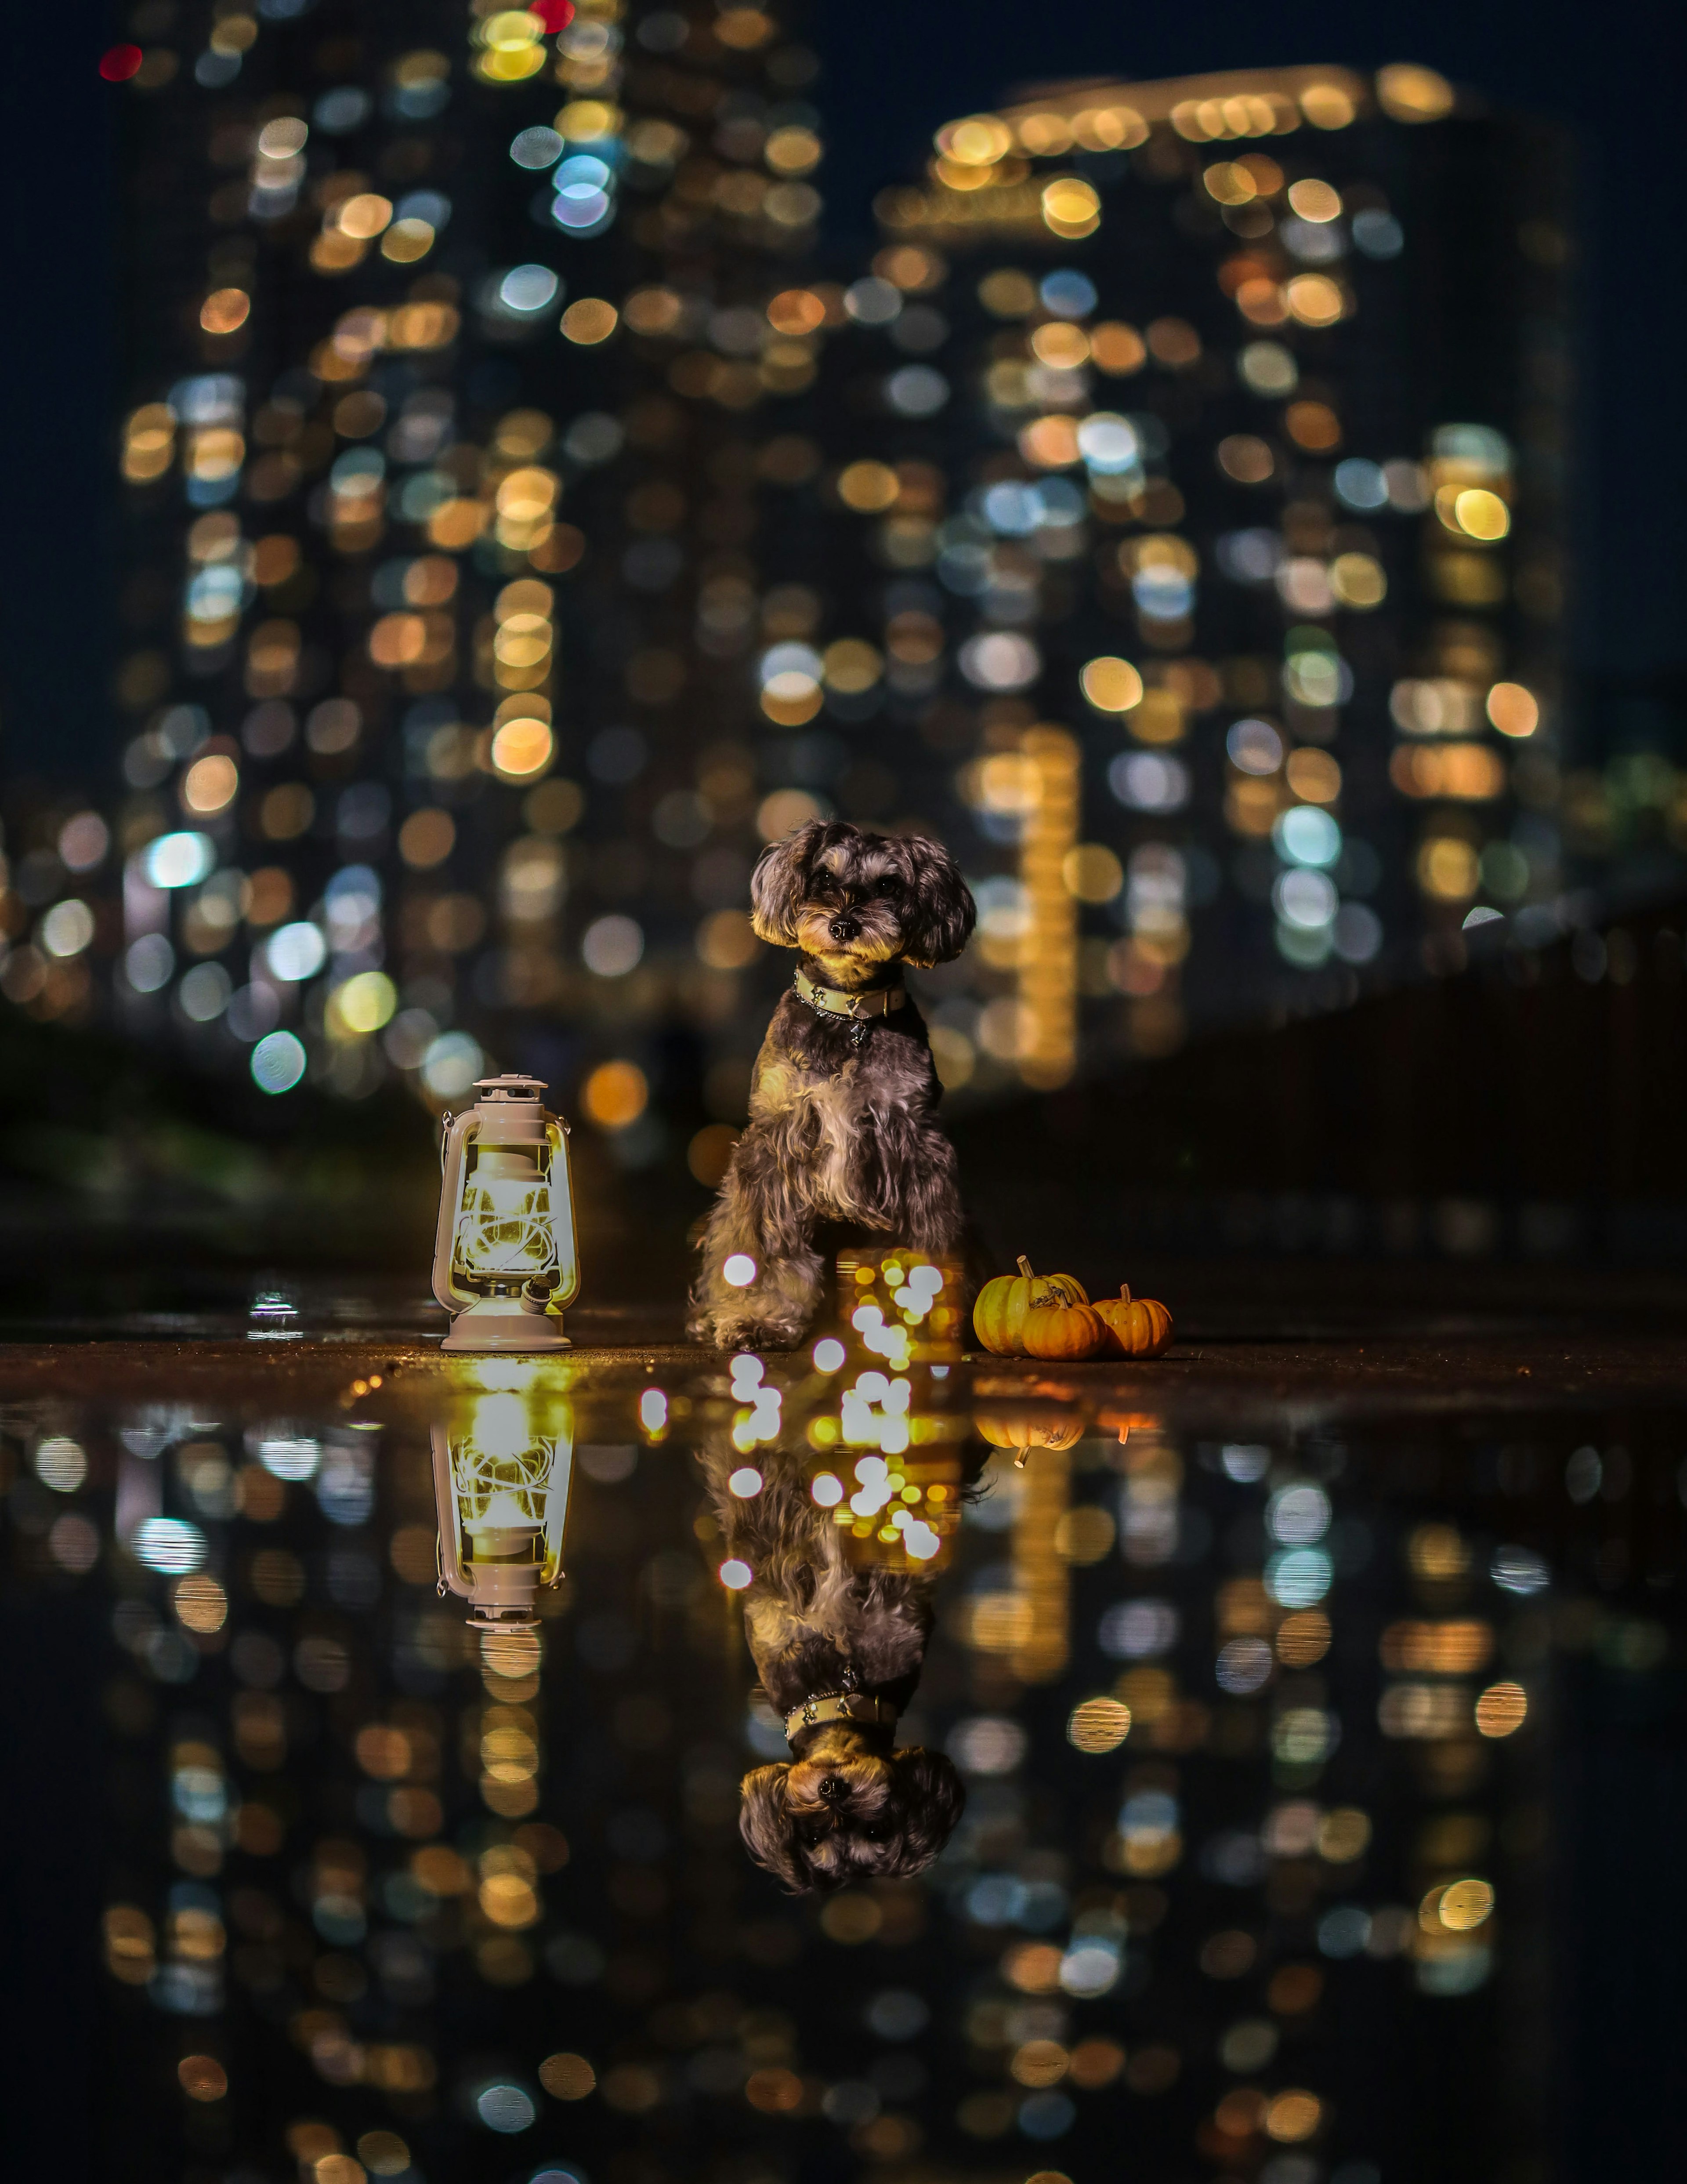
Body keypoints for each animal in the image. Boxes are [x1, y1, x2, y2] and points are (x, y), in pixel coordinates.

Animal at [685, 821, 973, 1345]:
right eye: (823, 876)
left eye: (889, 885)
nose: (843, 925)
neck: (848, 1013)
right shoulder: (774, 1141)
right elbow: (762, 1248)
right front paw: (759, 1317)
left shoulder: (916, 1144)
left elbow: (925, 1239)